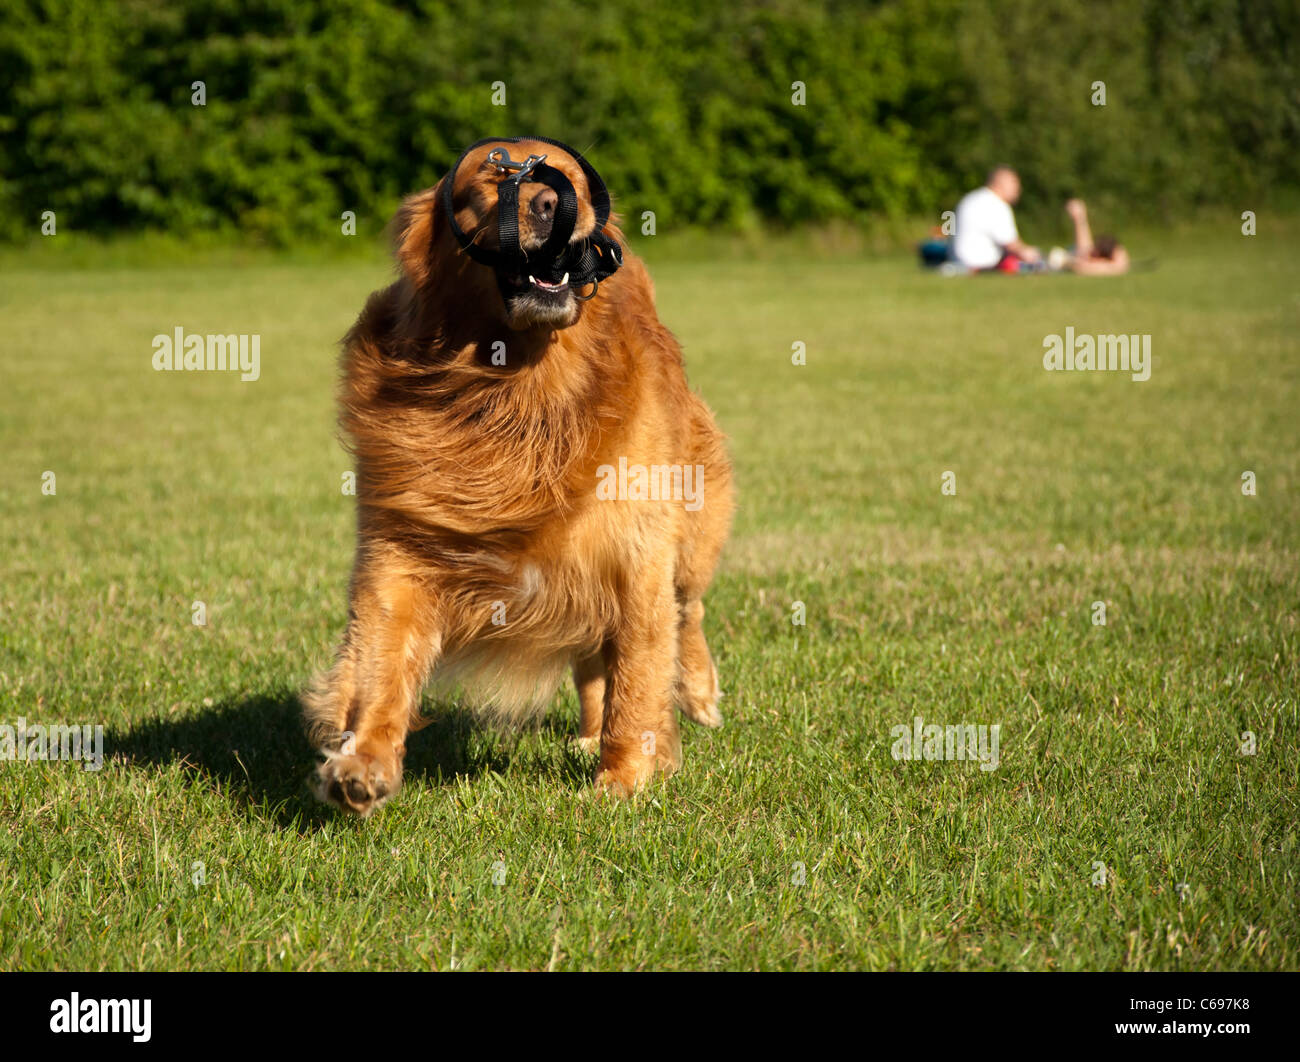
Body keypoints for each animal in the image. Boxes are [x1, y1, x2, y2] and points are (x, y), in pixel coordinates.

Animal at [301, 132, 733, 811]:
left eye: (573, 181)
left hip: (689, 532)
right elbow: (378, 665)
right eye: (493, 172)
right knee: (595, 663)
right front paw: (361, 761)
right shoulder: (400, 550)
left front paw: (625, 781)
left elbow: (639, 677)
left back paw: (696, 694)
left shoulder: (637, 551)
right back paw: (588, 735)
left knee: (686, 613)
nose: (553, 204)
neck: (514, 390)